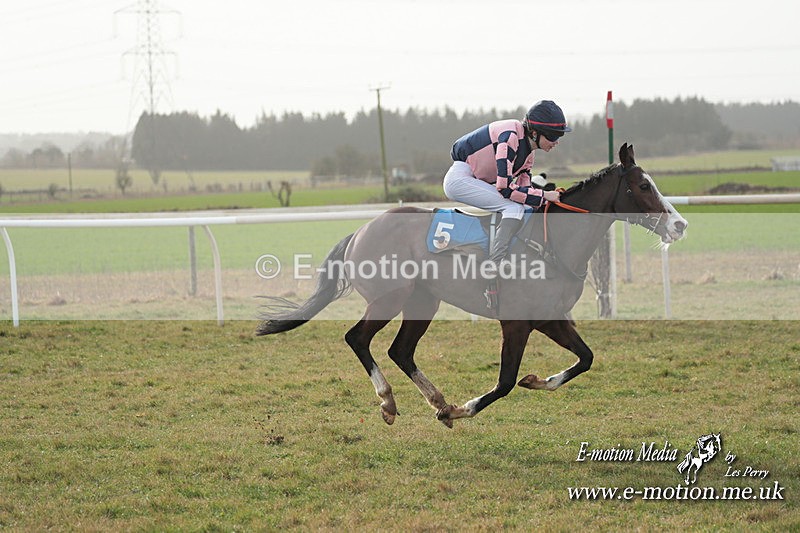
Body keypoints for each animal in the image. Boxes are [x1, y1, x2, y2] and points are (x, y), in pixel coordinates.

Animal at [257, 143, 688, 427]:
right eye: (643, 186)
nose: (680, 224)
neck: (552, 244)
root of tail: (361, 230)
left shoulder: (551, 319)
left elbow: (585, 359)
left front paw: (535, 381)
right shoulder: (516, 322)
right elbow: (505, 382)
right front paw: (463, 409)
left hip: (423, 302)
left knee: (401, 350)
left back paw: (436, 400)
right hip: (389, 298)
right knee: (357, 339)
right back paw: (389, 402)